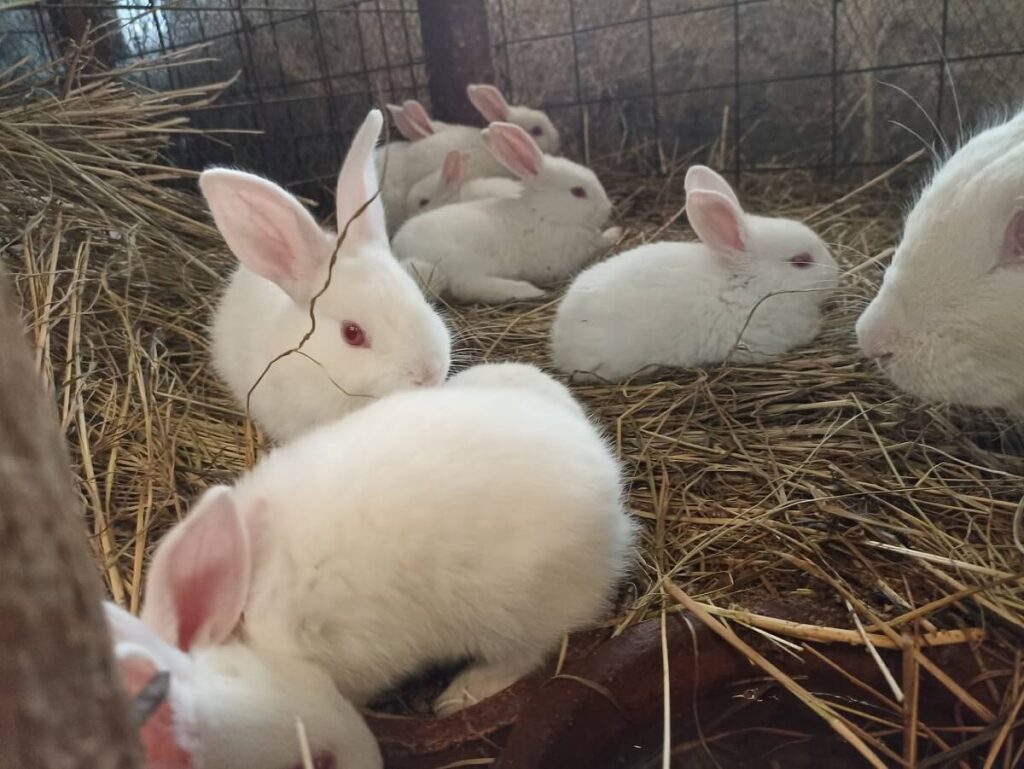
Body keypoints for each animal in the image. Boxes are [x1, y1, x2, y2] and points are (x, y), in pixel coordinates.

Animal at [393, 122, 621, 304]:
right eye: (578, 192)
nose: (607, 209)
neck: (543, 213)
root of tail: (400, 250)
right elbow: (601, 242)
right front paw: (615, 232)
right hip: (459, 263)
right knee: (468, 286)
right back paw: (527, 290)